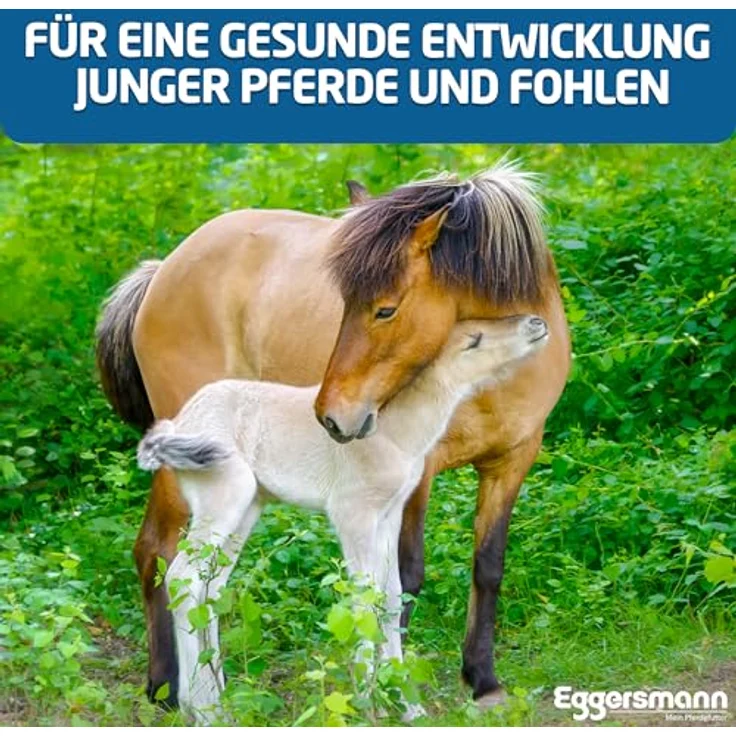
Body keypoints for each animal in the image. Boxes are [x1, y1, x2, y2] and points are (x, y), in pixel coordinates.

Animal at [96, 160, 570, 710]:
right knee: (159, 553)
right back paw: (168, 688)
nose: (331, 417)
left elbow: (487, 566)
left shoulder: (512, 462)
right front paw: (390, 689)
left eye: (384, 309)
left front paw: (482, 679)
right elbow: (404, 579)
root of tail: (162, 271)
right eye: (345, 305)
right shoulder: (415, 480)